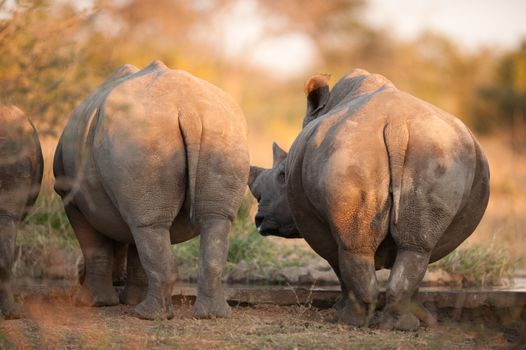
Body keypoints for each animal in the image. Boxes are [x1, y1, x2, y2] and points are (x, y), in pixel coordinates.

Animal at [53, 60, 250, 320]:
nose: (79, 275)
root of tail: (189, 110)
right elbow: (137, 250)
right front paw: (128, 299)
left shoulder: (71, 198)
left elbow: (96, 248)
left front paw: (92, 303)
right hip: (222, 129)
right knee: (210, 220)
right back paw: (212, 315)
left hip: (140, 134)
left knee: (149, 226)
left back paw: (146, 315)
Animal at [250, 70, 492, 330]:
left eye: (282, 175)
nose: (260, 220)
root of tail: (397, 125)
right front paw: (422, 315)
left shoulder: (314, 224)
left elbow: (338, 265)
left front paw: (338, 309)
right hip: (436, 153)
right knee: (416, 248)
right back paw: (401, 324)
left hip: (349, 154)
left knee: (355, 249)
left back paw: (350, 320)